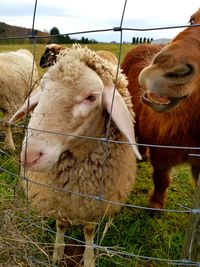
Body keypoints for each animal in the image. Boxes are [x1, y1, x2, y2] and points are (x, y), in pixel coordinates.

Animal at [9, 45, 141, 266]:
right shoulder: (58, 197)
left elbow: (88, 231)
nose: (30, 155)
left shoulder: (95, 202)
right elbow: (61, 224)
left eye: (91, 97)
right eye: (42, 89)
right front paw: (57, 253)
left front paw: (89, 258)